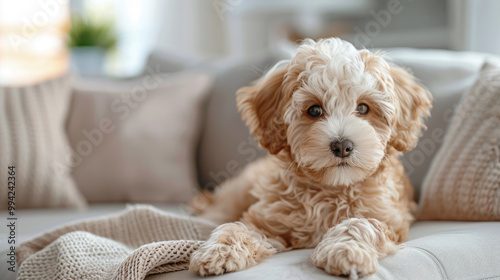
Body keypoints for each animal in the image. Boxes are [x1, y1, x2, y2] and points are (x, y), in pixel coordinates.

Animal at [189, 37, 432, 278]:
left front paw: (345, 250)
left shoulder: (392, 221)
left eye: (363, 108)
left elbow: (361, 223)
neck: (331, 189)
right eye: (314, 110)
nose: (342, 146)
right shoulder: (267, 219)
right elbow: (238, 226)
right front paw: (220, 249)